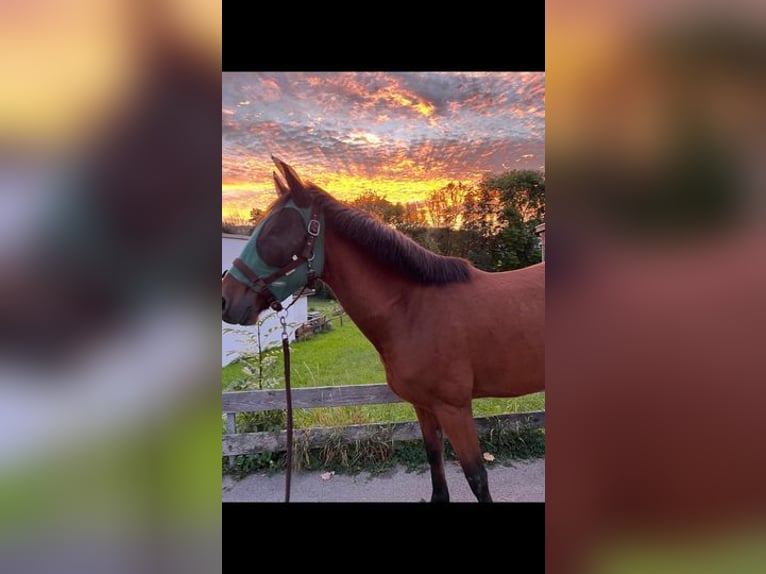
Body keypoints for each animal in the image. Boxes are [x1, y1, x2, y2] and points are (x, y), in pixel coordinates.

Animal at [222, 159, 544, 504]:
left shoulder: (454, 408)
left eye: (273, 231)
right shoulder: (424, 406)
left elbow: (476, 477)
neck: (412, 308)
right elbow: (435, 465)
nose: (227, 299)